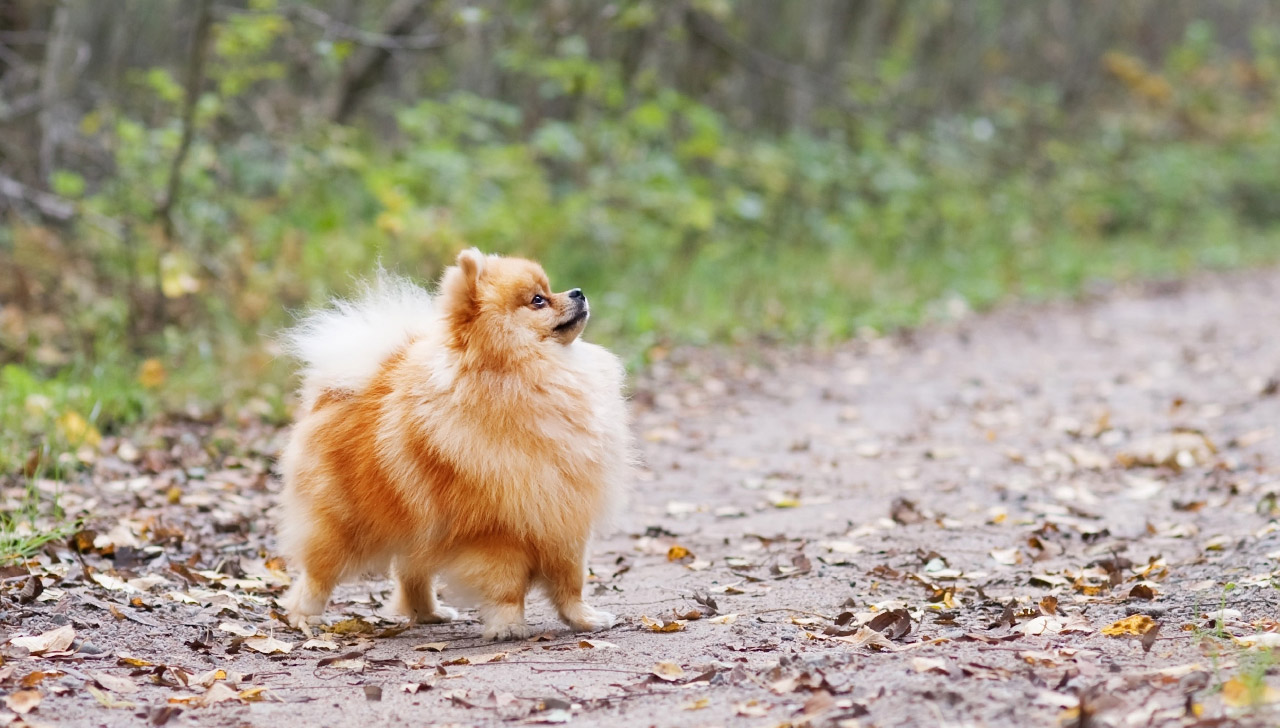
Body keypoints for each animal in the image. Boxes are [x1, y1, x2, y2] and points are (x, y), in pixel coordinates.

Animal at [276, 248, 629, 634]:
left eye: (551, 289)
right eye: (538, 300)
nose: (578, 292)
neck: (524, 376)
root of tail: (333, 392)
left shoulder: (565, 517)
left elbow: (571, 583)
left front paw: (585, 619)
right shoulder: (498, 530)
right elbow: (507, 585)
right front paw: (509, 626)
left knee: (411, 572)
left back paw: (428, 613)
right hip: (341, 526)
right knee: (317, 574)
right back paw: (303, 616)